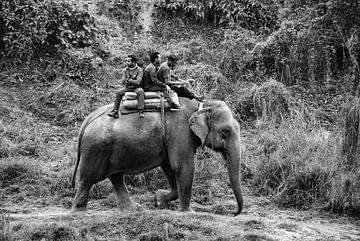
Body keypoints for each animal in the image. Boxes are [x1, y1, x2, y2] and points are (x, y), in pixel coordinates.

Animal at [71, 97, 243, 215]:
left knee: (116, 176)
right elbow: (183, 166)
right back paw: (78, 211)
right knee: (88, 177)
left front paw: (159, 200)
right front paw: (188, 212)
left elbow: (169, 167)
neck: (200, 106)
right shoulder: (180, 131)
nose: (234, 213)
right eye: (226, 131)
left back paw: (132, 209)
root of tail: (86, 121)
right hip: (96, 147)